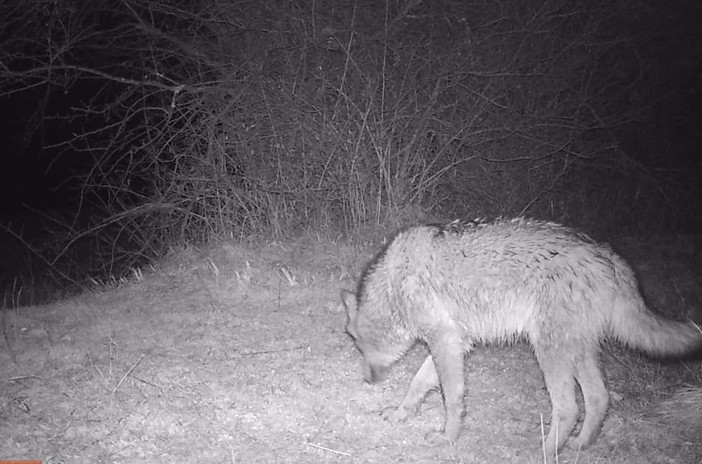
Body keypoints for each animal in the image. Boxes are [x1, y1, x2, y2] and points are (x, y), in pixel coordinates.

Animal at [342, 218, 701, 456]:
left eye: (357, 345)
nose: (366, 380)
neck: (395, 285)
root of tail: (610, 257)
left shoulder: (445, 342)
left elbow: (451, 398)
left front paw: (447, 439)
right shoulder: (454, 342)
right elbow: (418, 384)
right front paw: (401, 414)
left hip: (549, 351)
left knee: (569, 407)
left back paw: (543, 452)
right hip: (576, 352)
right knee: (599, 398)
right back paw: (578, 445)